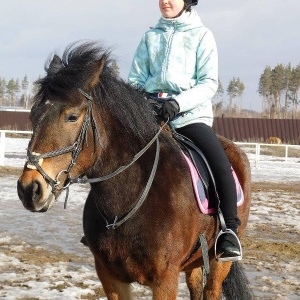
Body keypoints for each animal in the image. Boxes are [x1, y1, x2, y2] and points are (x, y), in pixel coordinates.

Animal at [16, 42, 252, 300]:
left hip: (219, 262)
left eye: (72, 116)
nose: (29, 189)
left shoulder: (165, 280)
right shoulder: (110, 277)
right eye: (33, 114)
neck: (131, 197)